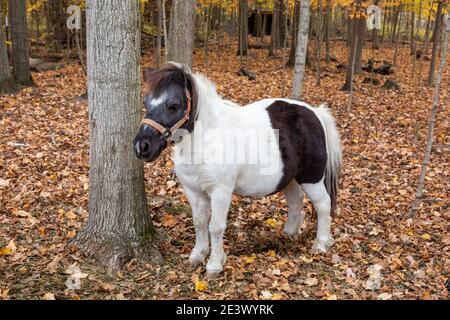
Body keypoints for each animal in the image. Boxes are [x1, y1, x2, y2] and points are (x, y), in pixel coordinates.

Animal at [133, 63, 342, 278]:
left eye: (173, 105)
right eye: (146, 103)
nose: (142, 147)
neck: (205, 140)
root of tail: (316, 113)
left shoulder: (221, 192)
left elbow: (216, 227)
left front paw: (214, 265)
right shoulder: (193, 191)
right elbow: (199, 222)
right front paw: (198, 256)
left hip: (312, 178)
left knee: (323, 205)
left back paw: (321, 244)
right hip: (290, 179)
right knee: (295, 202)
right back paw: (289, 235)